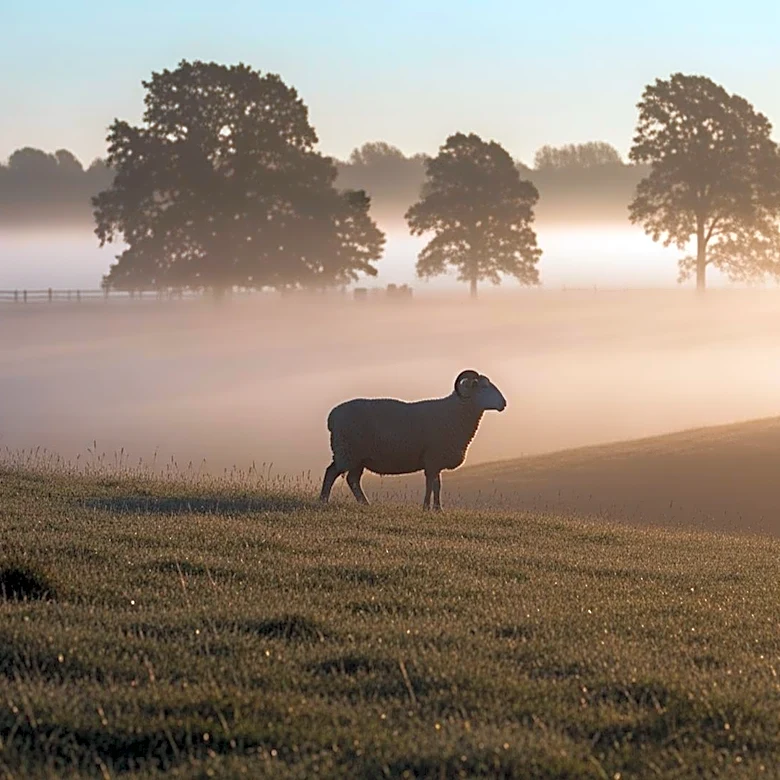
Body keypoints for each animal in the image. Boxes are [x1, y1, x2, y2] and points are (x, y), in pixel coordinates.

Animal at [318, 369, 506, 510]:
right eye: (482, 387)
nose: (503, 404)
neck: (455, 412)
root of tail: (331, 417)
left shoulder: (435, 460)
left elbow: (437, 484)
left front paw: (437, 509)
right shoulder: (432, 458)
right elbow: (431, 484)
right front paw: (426, 508)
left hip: (358, 458)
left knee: (352, 480)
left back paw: (365, 503)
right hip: (347, 452)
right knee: (331, 473)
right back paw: (323, 501)